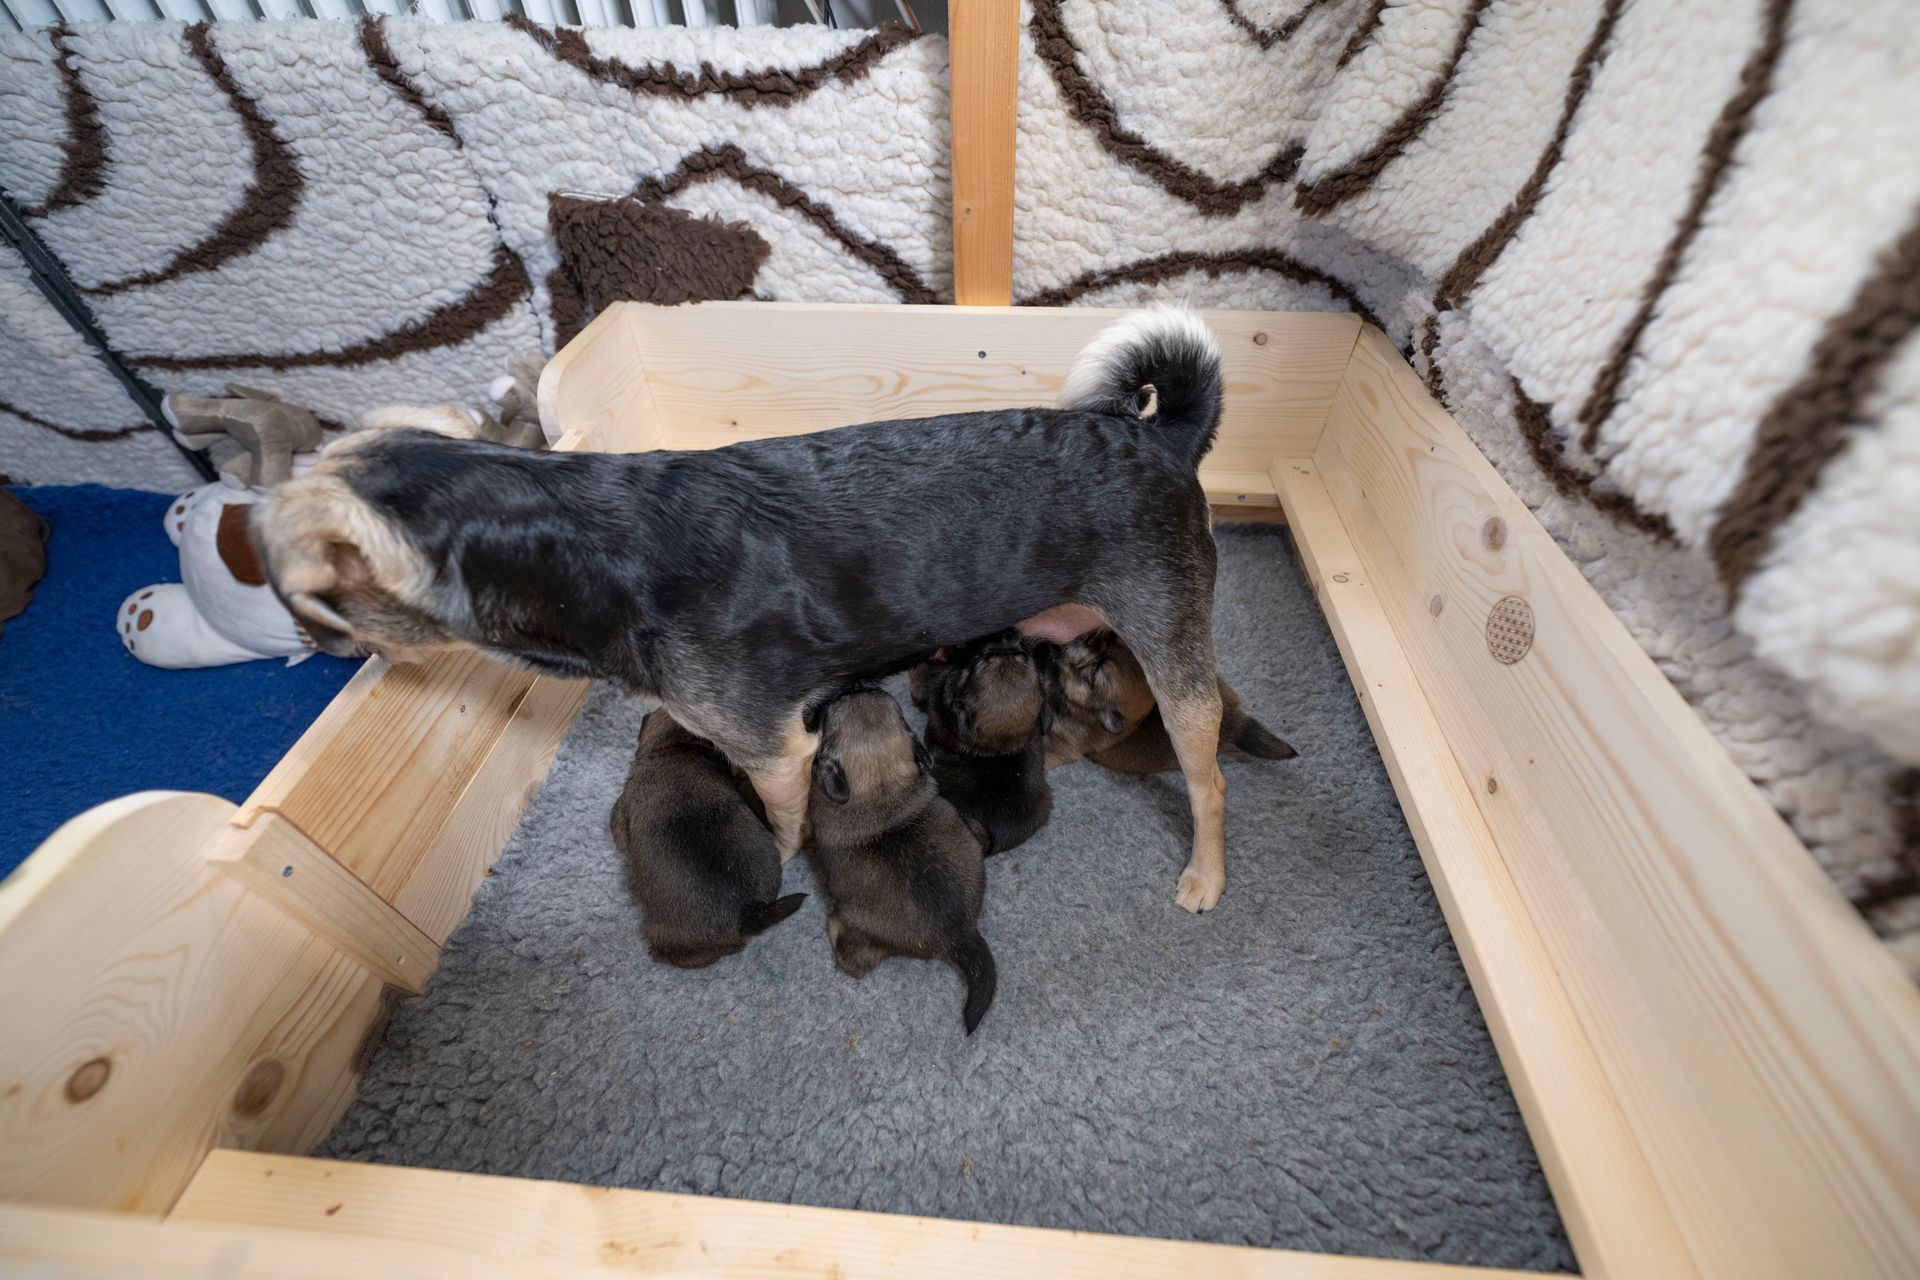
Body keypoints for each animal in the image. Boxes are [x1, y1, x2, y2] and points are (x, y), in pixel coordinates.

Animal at [802, 687, 997, 1033]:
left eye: (830, 714)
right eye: (901, 714)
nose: (860, 685)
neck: (882, 789)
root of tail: (961, 934)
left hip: (859, 931)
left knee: (852, 960)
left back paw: (834, 929)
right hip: (970, 830)